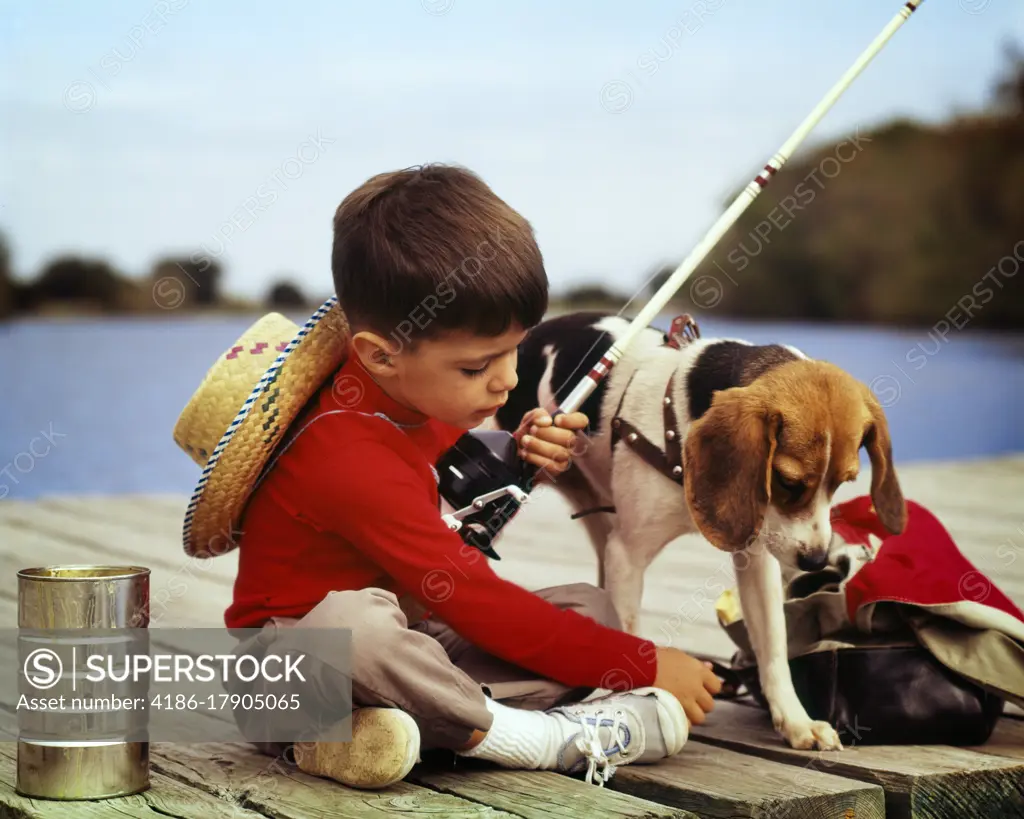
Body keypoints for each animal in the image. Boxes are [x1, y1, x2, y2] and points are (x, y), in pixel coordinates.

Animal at [491, 311, 909, 753]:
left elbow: (774, 649)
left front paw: (796, 721)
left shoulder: (756, 559)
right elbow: (629, 634)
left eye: (844, 482)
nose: (815, 561)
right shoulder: (628, 555)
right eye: (788, 482)